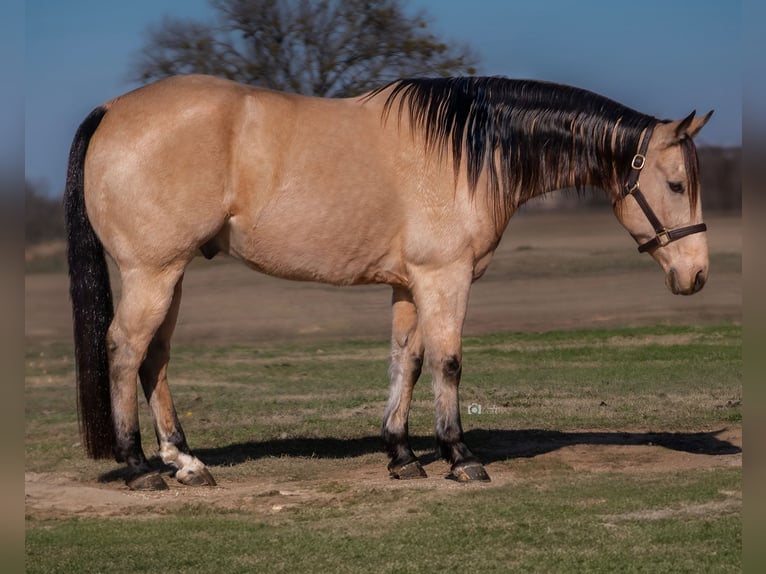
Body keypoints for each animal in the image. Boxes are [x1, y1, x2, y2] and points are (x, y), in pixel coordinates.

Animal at [64, 75, 712, 490]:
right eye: (676, 184)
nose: (698, 274)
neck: (467, 152)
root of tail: (112, 109)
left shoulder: (410, 285)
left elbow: (407, 361)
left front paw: (401, 455)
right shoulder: (445, 279)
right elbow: (448, 362)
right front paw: (459, 456)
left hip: (170, 276)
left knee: (155, 359)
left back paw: (187, 463)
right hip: (152, 274)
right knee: (125, 350)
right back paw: (141, 469)